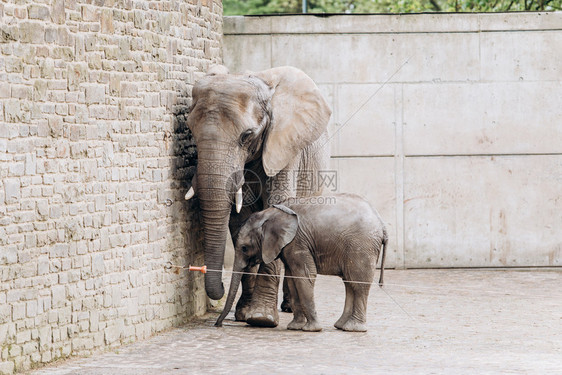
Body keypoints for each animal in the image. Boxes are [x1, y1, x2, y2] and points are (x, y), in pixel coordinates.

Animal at [186, 65, 330, 328]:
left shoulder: (284, 147)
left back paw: (288, 307)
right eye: (190, 130)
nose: (220, 288)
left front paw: (262, 318)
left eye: (247, 135)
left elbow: (278, 206)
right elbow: (240, 220)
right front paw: (245, 314)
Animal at [214, 194, 384, 332]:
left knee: (358, 284)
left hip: (361, 246)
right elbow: (292, 279)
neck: (271, 213)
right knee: (349, 282)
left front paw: (312, 329)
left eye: (244, 248)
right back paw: (341, 326)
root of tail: (381, 223)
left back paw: (354, 328)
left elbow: (305, 276)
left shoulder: (297, 242)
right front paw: (295, 327)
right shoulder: (289, 246)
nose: (218, 325)